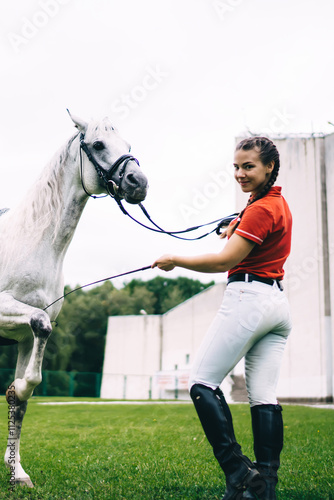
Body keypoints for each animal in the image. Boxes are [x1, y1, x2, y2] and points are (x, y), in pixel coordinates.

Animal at [0, 111, 149, 486]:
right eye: (97, 144)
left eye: (127, 144)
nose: (139, 182)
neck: (31, 241)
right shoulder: (13, 314)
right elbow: (41, 330)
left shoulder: (25, 337)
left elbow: (20, 395)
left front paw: (17, 472)